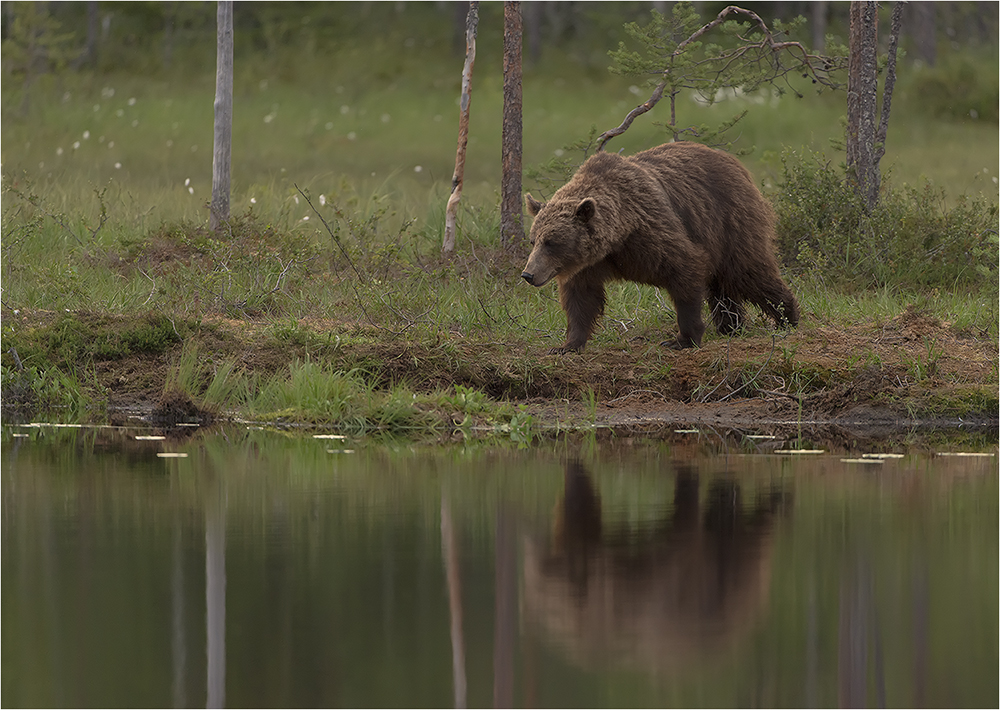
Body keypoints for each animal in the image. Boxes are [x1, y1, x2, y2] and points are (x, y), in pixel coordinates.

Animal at [524, 141, 796, 354]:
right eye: (533, 240)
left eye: (551, 242)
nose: (528, 274)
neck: (618, 236)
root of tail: (732, 161)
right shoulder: (587, 265)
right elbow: (581, 299)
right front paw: (567, 345)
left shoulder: (653, 234)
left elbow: (684, 270)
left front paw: (683, 338)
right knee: (722, 285)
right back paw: (730, 325)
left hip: (729, 221)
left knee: (748, 272)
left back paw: (787, 316)